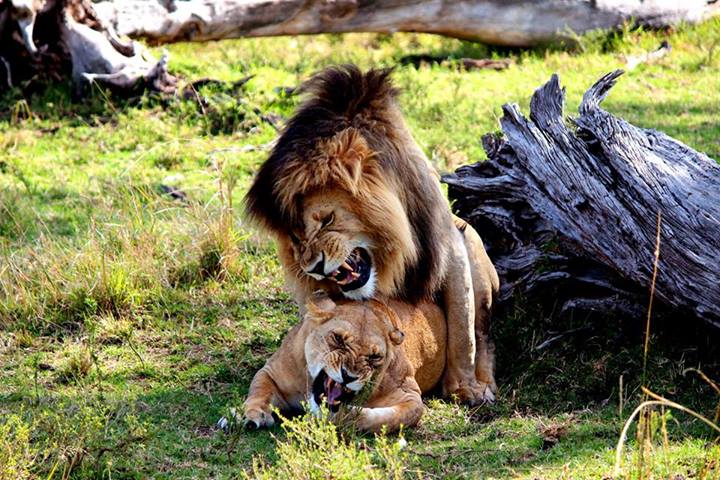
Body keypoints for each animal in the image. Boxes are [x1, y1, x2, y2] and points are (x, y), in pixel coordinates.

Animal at [242, 293, 446, 433]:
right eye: (338, 339)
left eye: (374, 357)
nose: (348, 376)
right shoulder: (272, 371)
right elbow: (260, 389)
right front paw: (253, 415)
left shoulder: (409, 394)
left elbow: (386, 418)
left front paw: (338, 416)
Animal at [245, 65, 499, 404]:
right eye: (296, 239)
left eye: (326, 220)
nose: (314, 268)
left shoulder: (448, 241)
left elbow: (463, 329)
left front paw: (464, 387)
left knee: (482, 332)